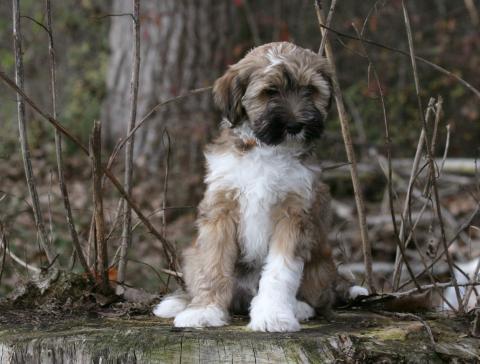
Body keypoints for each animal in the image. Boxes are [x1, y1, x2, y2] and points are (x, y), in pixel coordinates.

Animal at [154, 42, 368, 332]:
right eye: (270, 92)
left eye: (310, 90)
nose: (295, 126)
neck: (266, 149)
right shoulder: (221, 208)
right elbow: (213, 263)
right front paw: (204, 310)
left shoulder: (294, 214)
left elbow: (280, 271)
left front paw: (273, 315)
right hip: (192, 255)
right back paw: (182, 302)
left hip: (321, 264)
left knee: (321, 297)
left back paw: (300, 307)